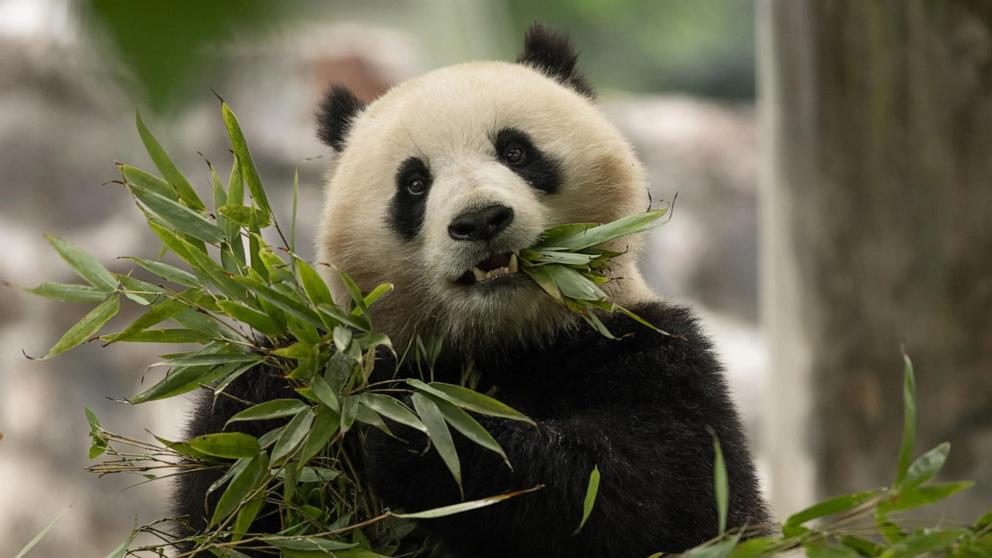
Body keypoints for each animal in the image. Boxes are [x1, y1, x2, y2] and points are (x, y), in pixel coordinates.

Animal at [174, 23, 772, 558]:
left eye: (516, 151)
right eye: (414, 184)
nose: (481, 220)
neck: (503, 341)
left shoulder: (651, 351)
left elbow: (662, 495)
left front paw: (418, 431)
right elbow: (227, 505)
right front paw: (281, 391)